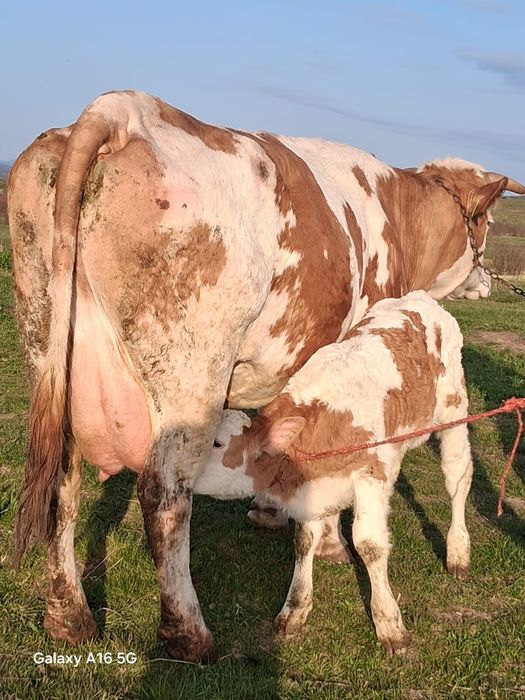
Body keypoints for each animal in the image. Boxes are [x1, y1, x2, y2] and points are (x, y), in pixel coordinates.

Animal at [195, 291, 473, 654]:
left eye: (216, 443)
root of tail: (421, 298)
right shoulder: (311, 487)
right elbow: (303, 540)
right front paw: (295, 609)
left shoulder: (372, 475)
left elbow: (369, 543)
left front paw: (388, 622)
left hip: (455, 411)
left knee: (457, 478)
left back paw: (458, 552)